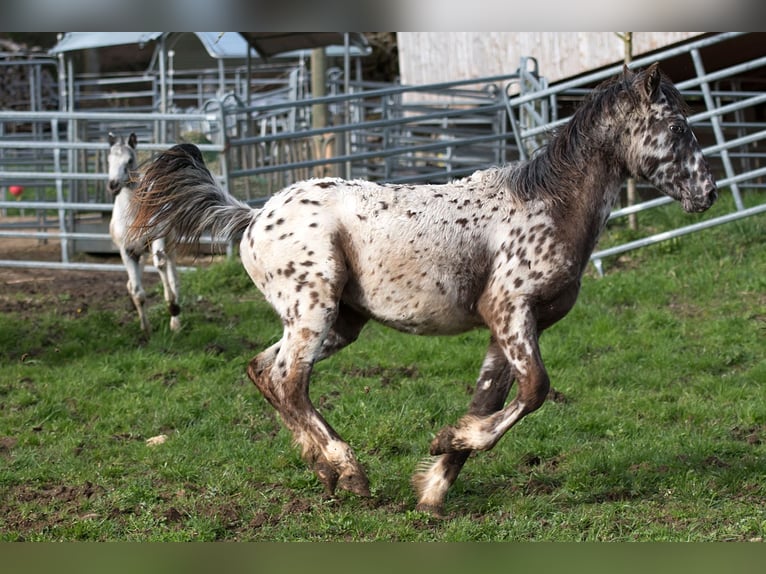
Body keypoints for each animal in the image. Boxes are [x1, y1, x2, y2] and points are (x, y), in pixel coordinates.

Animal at [106, 133, 182, 336]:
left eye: (129, 160)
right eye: (109, 159)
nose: (113, 185)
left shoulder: (157, 240)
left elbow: (161, 267)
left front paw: (173, 307)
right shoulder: (127, 252)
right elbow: (138, 292)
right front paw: (145, 329)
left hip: (169, 246)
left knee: (173, 277)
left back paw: (176, 323)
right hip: (139, 253)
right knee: (133, 284)